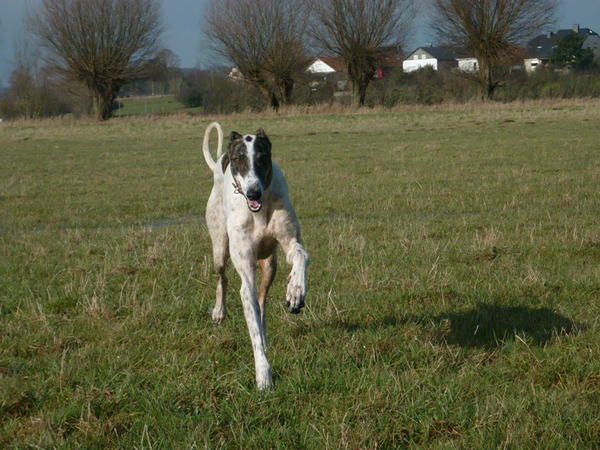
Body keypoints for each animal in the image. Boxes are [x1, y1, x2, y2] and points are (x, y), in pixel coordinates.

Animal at [204, 121, 312, 388]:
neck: (259, 211)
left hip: (269, 264)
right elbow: (251, 321)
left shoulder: (290, 240)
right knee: (222, 276)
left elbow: (300, 255)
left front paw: (295, 290)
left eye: (263, 159)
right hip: (219, 245)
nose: (253, 193)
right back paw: (219, 312)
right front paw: (263, 374)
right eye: (238, 159)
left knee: (262, 303)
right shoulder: (246, 274)